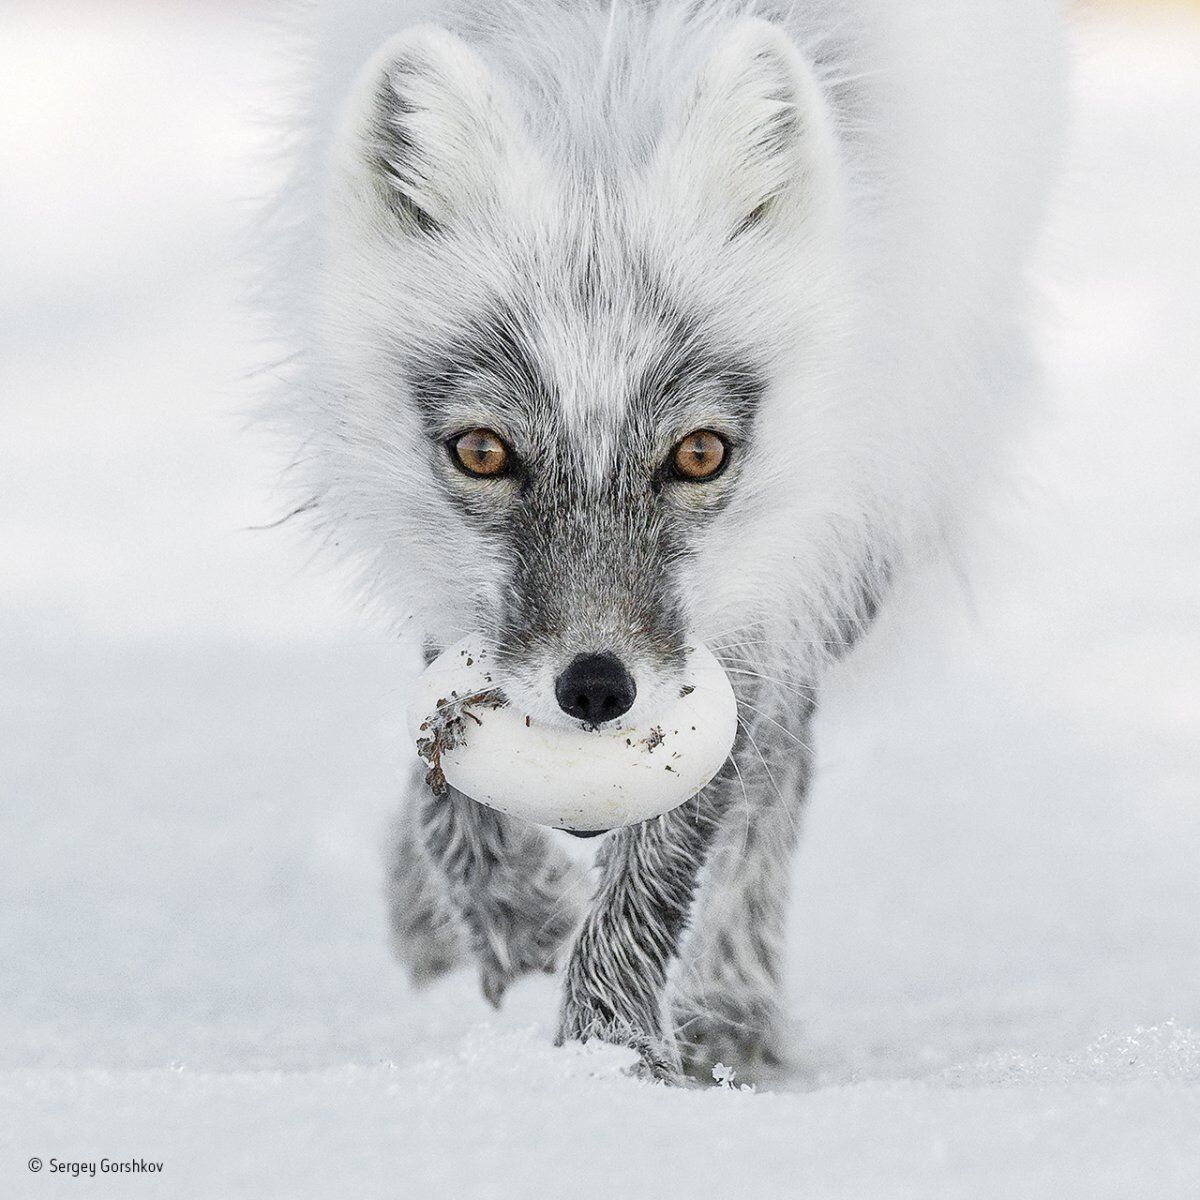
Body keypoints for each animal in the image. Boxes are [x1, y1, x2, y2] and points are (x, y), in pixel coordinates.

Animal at [267, 0, 1065, 1084]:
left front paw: (608, 1063)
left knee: (779, 772)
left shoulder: (762, 593)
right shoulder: (448, 579)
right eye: (482, 452)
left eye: (698, 453)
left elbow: (673, 851)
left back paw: (731, 1011)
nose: (598, 689)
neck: (606, 87)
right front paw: (511, 914)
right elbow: (444, 766)